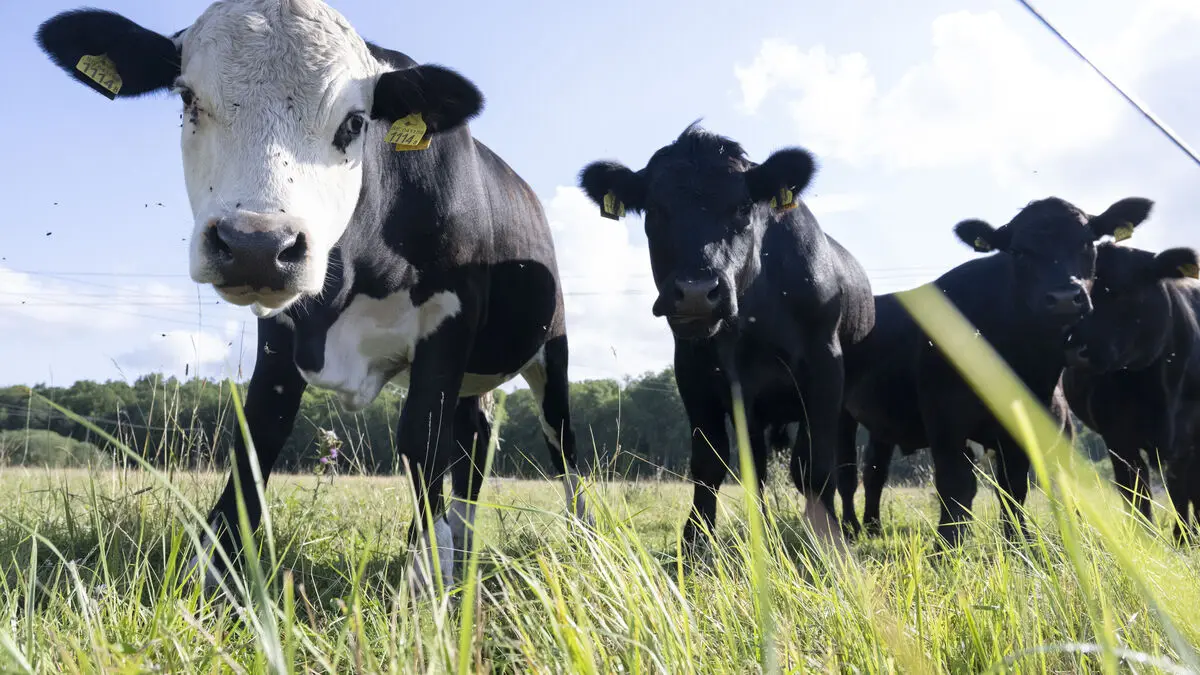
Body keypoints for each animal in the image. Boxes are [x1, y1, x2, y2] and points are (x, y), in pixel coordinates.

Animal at [35, 0, 591, 594]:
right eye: (187, 98)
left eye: (354, 122)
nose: (255, 244)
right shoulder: (280, 335)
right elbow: (258, 436)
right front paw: (211, 577)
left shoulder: (448, 325)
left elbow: (421, 440)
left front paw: (428, 578)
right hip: (473, 377)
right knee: (476, 437)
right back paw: (465, 547)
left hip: (550, 348)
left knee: (559, 442)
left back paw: (576, 539)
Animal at [578, 123, 875, 552]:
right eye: (656, 210)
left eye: (742, 208)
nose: (696, 291)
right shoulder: (696, 373)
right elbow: (710, 463)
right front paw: (695, 545)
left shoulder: (824, 367)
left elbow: (817, 467)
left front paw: (827, 544)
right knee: (760, 467)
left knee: (834, 465)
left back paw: (843, 526)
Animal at [837, 196, 1154, 549]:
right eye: (1018, 252)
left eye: (1087, 242)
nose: (1062, 299)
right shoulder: (944, 417)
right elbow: (955, 483)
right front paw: (947, 546)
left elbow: (1013, 486)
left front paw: (1019, 542)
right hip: (839, 411)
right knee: (846, 474)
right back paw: (848, 529)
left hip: (882, 421)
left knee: (874, 470)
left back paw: (872, 527)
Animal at [1063, 242, 1200, 542]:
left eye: (1123, 290)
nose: (1075, 347)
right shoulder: (1118, 439)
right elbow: (1136, 493)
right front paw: (1145, 541)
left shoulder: (1187, 439)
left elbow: (1182, 491)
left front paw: (1185, 539)